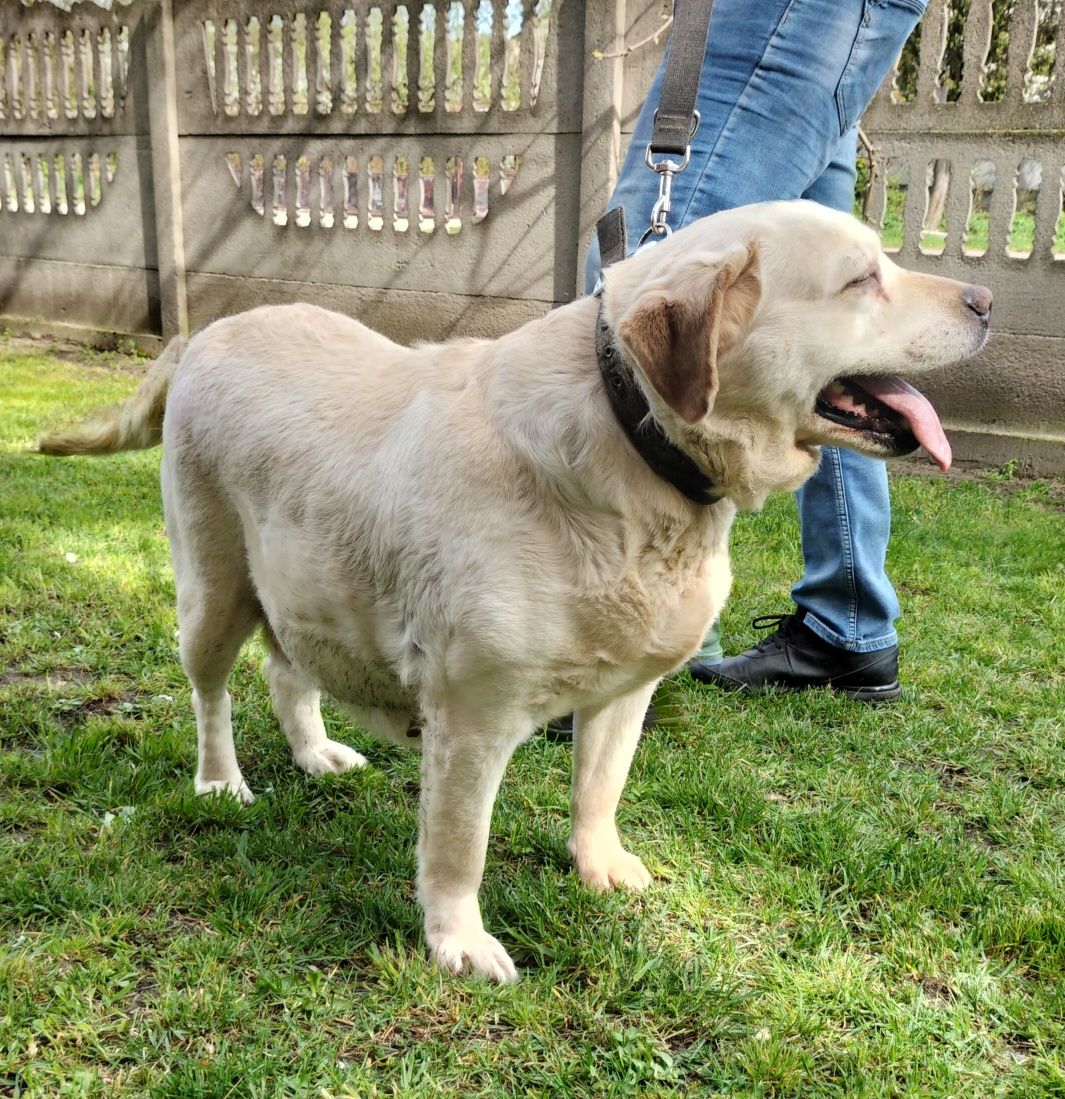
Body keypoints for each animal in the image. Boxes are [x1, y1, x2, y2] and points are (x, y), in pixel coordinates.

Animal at [39, 202, 989, 984]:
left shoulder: (626, 692)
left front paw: (600, 866)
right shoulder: (472, 711)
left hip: (311, 573)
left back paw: (315, 753)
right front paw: (457, 940)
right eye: (861, 278)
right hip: (215, 586)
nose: (984, 299)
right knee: (211, 693)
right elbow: (460, 844)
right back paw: (221, 781)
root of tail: (204, 333)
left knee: (287, 668)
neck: (632, 440)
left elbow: (599, 791)